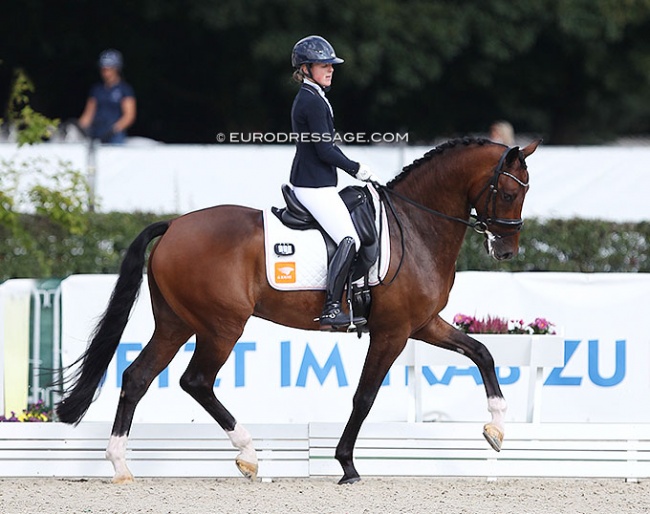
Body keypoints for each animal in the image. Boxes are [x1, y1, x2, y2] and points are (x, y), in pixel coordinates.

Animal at [58, 135, 540, 480]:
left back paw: (120, 464)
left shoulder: (422, 324)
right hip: (221, 326)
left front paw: (497, 428)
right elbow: (364, 396)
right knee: (196, 381)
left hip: (176, 323)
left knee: (137, 377)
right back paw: (248, 454)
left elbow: (482, 352)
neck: (416, 225)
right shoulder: (393, 332)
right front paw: (347, 465)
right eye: (508, 193)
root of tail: (174, 225)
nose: (507, 251)